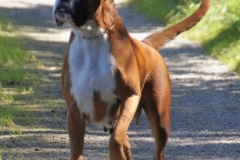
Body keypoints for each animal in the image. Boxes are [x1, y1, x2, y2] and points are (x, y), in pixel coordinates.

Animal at [52, 0, 210, 159]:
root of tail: (147, 45)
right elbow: (77, 150)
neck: (92, 35)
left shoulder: (130, 97)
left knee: (157, 151)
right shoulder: (74, 111)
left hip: (160, 122)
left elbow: (116, 139)